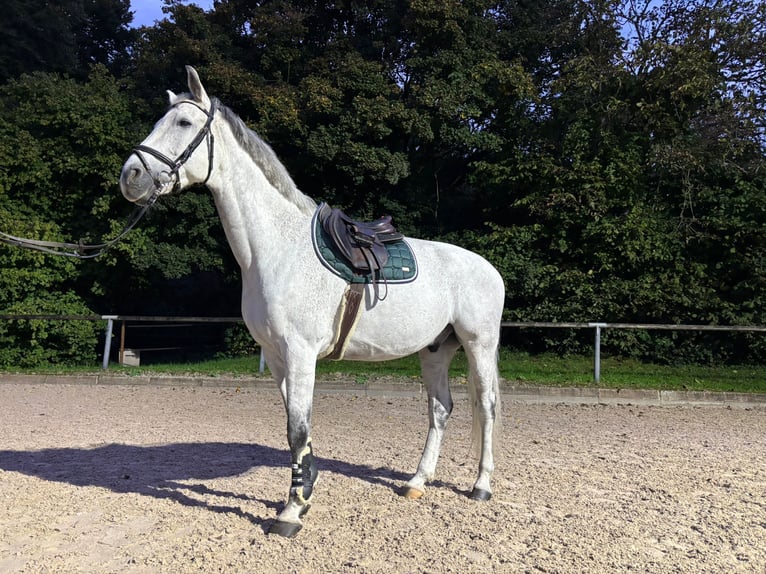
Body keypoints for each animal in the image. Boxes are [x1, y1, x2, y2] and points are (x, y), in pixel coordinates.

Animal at [119, 66, 505, 538]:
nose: (130, 177)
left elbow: (297, 428)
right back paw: (416, 481)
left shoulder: (301, 353)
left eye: (184, 122)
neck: (276, 248)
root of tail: (487, 268)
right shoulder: (278, 356)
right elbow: (294, 424)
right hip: (435, 349)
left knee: (485, 406)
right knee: (440, 409)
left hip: (478, 344)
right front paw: (305, 490)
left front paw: (291, 511)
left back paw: (481, 486)